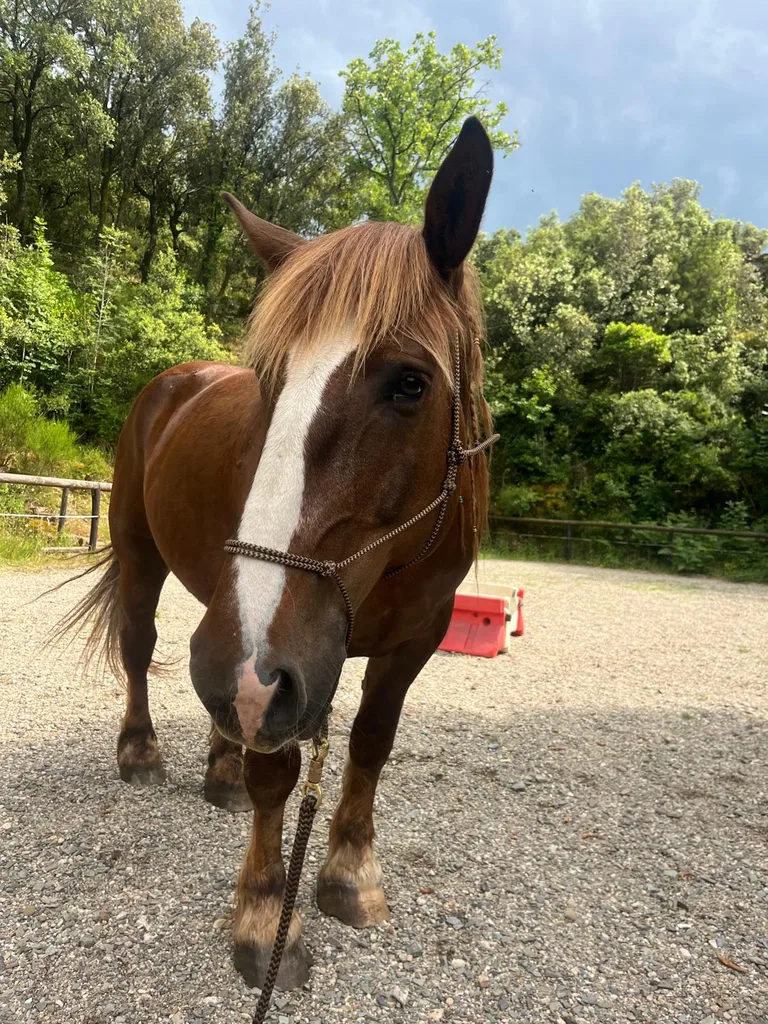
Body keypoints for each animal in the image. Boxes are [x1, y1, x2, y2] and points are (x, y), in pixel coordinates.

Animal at [62, 115, 497, 989]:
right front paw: (267, 917)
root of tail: (171, 381)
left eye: (410, 383)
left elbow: (370, 744)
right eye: (266, 378)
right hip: (148, 559)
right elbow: (278, 775)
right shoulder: (281, 662)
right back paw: (142, 752)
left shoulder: (410, 637)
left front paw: (350, 876)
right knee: (141, 649)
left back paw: (220, 767)